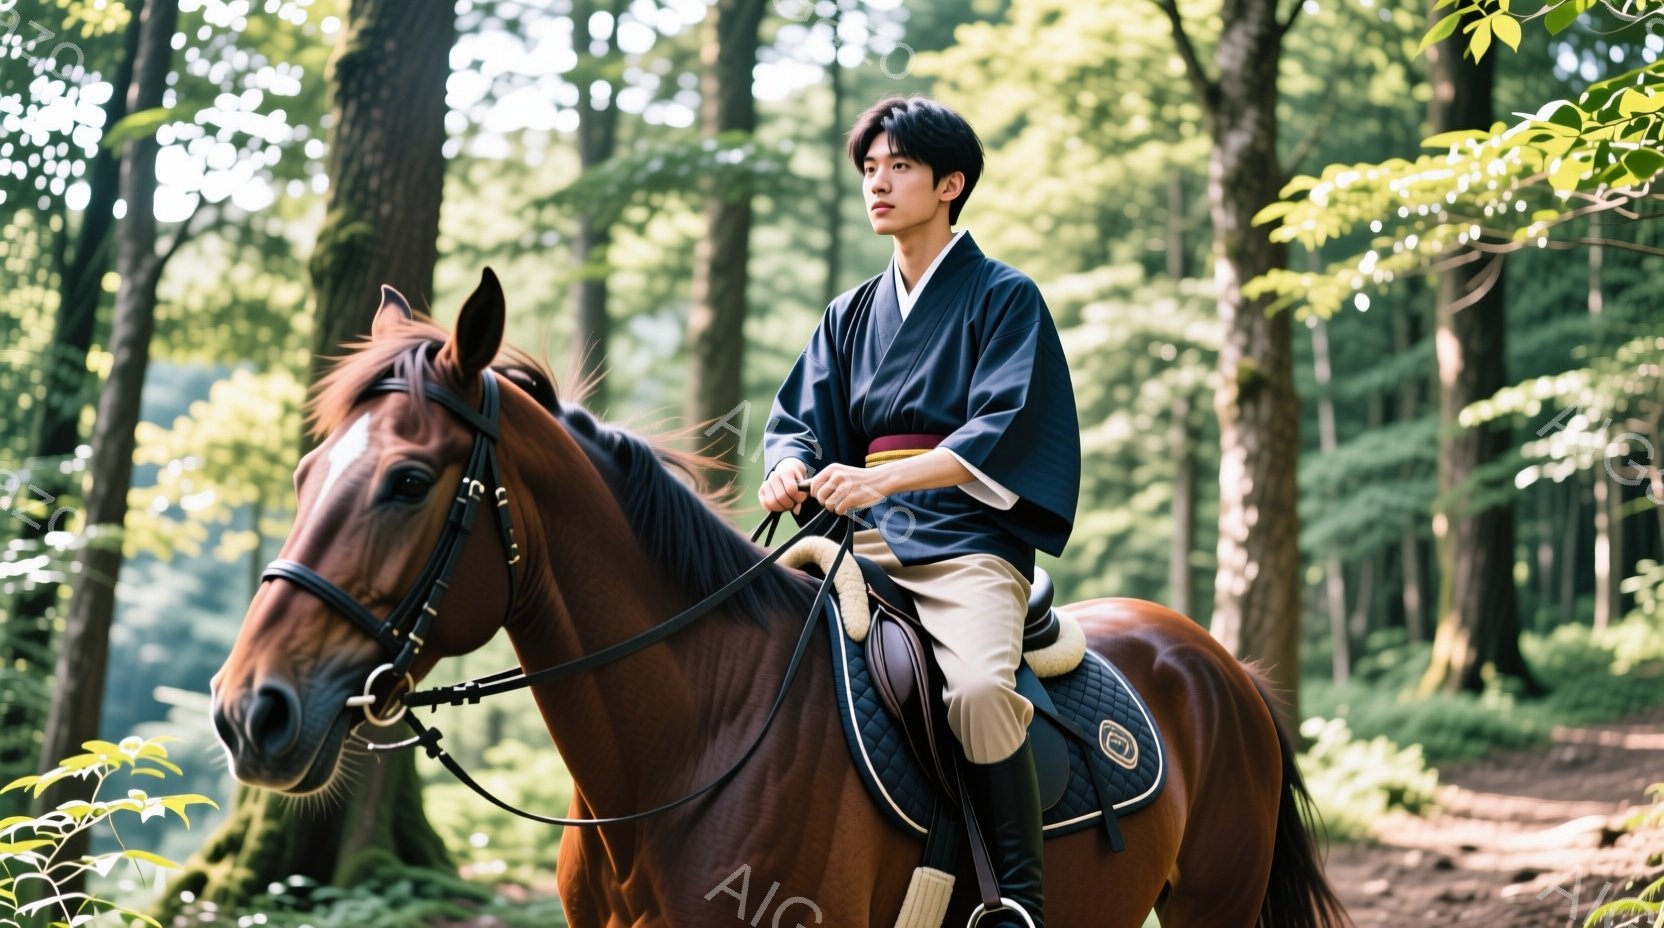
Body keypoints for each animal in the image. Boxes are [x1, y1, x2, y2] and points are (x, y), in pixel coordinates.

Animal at [210, 270, 1352, 928]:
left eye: (407, 481)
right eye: (306, 473)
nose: (247, 712)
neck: (690, 745)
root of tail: (1218, 664)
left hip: (1214, 906)